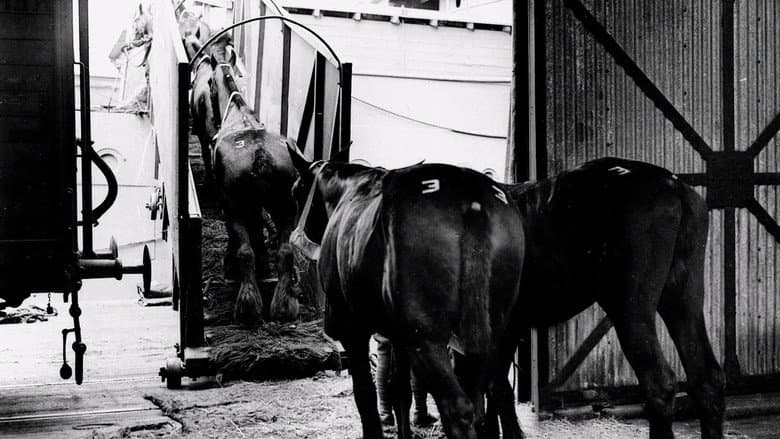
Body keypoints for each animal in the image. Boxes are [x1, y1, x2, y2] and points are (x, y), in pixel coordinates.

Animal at [208, 37, 300, 323]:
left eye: (209, 82)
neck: (238, 113)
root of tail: (260, 152)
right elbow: (259, 229)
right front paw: (265, 267)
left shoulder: (229, 202)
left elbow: (241, 240)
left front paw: (231, 267)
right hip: (285, 205)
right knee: (286, 249)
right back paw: (284, 304)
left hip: (236, 205)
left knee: (244, 250)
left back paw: (248, 303)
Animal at [286, 146, 525, 439]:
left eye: (295, 192)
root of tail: (471, 197)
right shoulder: (398, 335)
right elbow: (400, 390)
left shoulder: (353, 332)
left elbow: (364, 394)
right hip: (493, 331)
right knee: (498, 393)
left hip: (427, 338)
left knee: (458, 408)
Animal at [485, 157, 725, 439]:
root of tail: (673, 185)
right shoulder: (508, 329)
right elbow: (495, 388)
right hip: (684, 296)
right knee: (707, 378)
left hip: (630, 307)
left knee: (660, 382)